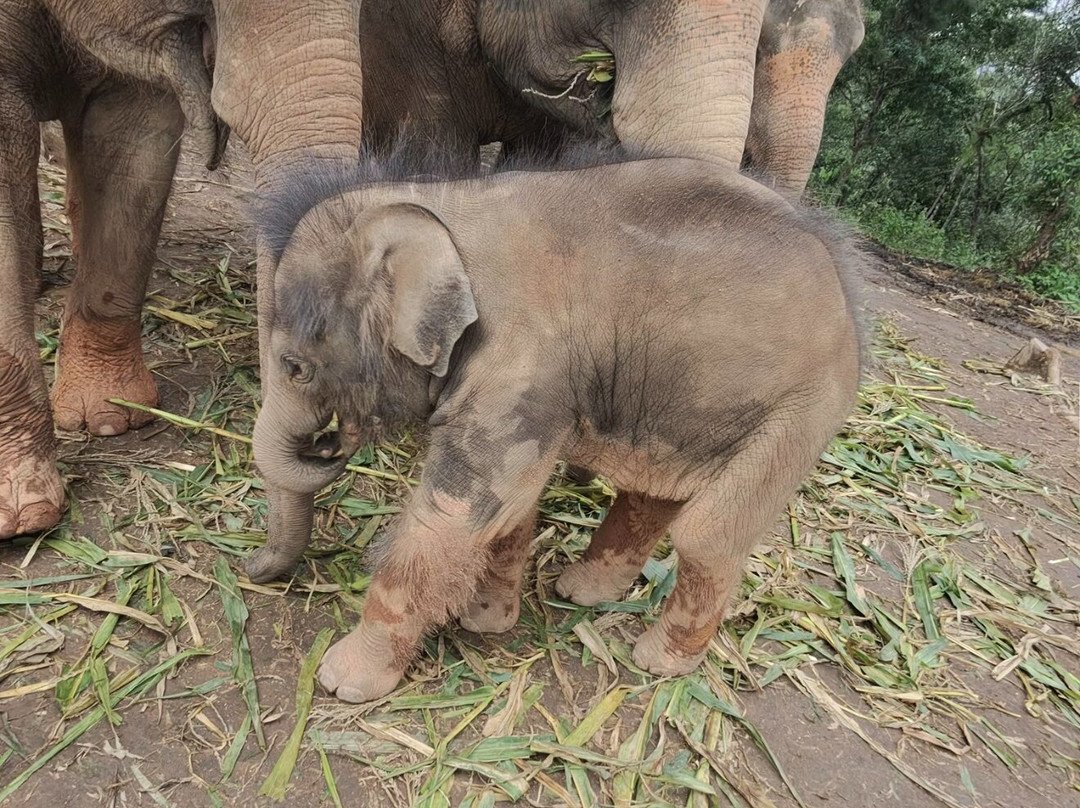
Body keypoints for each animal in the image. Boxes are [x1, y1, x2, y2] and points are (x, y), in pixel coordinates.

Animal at [247, 152, 864, 701]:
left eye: (295, 367)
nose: (329, 444)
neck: (441, 200)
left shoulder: (521, 365)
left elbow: (455, 513)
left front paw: (342, 680)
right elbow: (508, 507)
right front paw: (483, 621)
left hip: (802, 411)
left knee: (708, 533)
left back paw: (657, 661)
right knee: (652, 491)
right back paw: (582, 592)